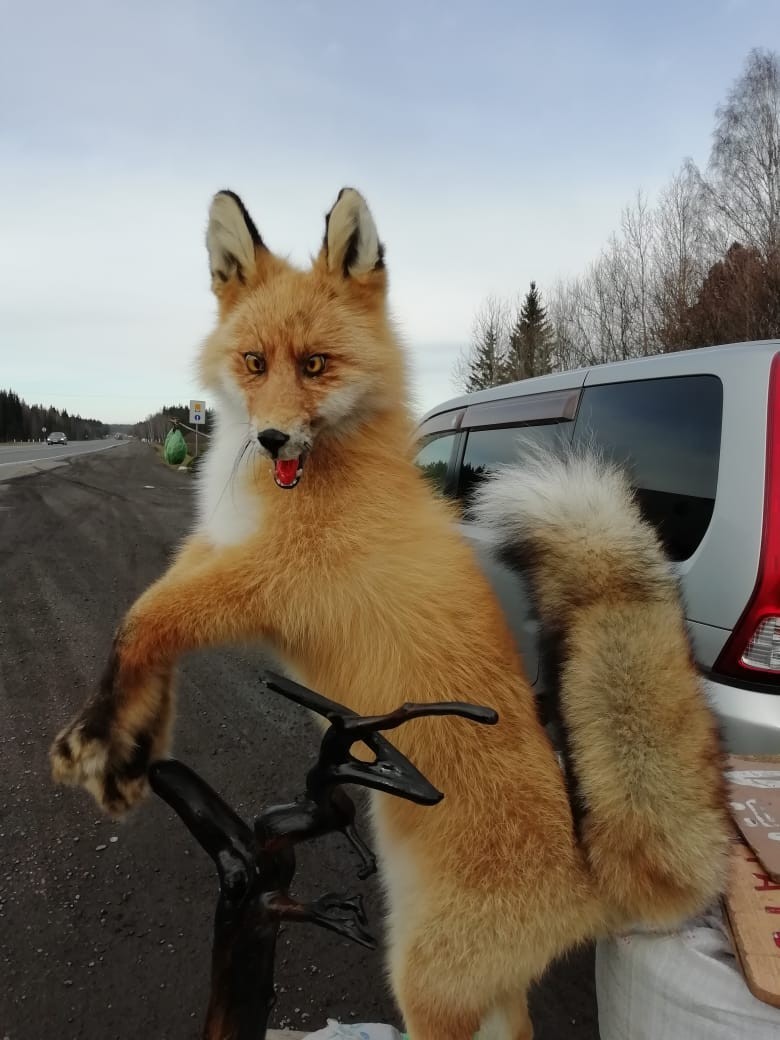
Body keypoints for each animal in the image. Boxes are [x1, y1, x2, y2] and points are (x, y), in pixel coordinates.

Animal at [52, 187, 732, 1040]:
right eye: (254, 363)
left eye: (316, 365)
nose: (271, 436)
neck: (286, 489)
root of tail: (589, 881)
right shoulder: (214, 551)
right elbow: (146, 623)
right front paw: (134, 737)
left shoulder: (277, 584)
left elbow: (143, 623)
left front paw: (101, 742)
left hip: (424, 984)